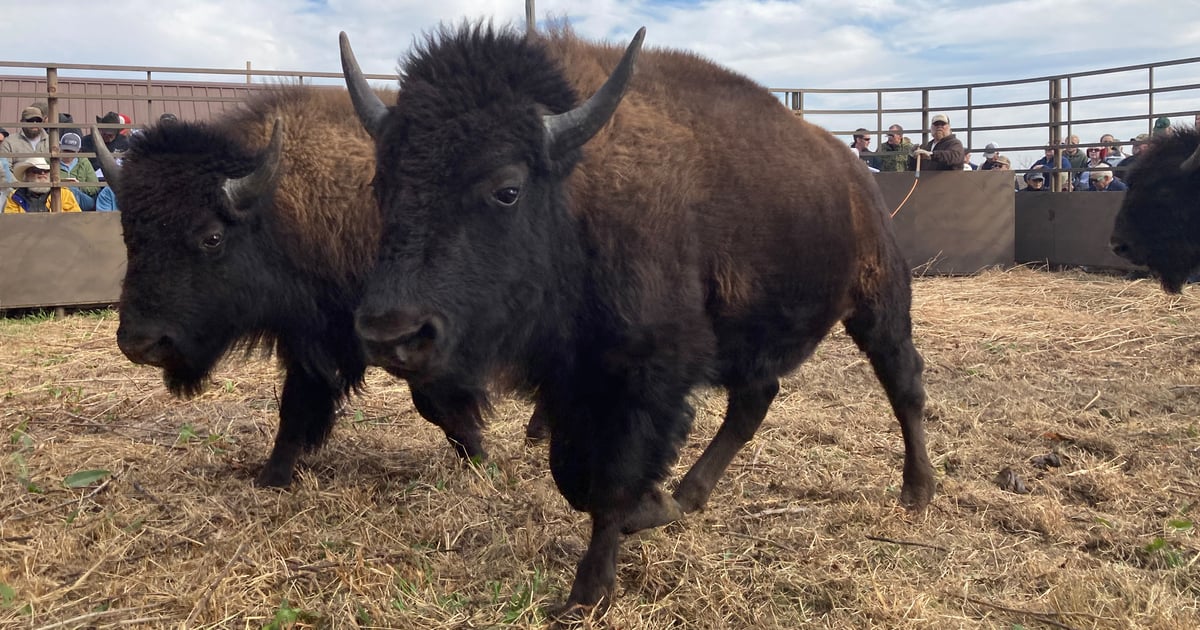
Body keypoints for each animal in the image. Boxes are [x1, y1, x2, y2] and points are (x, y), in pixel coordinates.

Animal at [97, 87, 523, 487]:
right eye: (127, 233)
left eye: (212, 237)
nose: (141, 344)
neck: (281, 209)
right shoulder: (309, 337)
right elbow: (295, 407)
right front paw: (272, 477)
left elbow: (437, 402)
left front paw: (481, 460)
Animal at [341, 24, 934, 612]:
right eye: (381, 185)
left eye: (507, 189)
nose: (391, 333)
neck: (576, 194)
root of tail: (854, 172)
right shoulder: (572, 381)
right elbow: (571, 472)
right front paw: (649, 510)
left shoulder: (643, 375)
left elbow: (610, 477)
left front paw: (587, 592)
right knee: (753, 402)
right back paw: (686, 497)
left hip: (879, 302)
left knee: (903, 383)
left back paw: (917, 491)